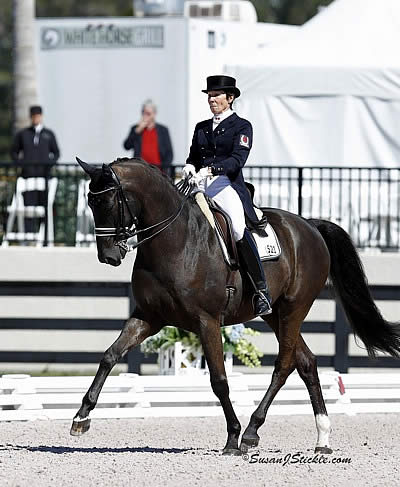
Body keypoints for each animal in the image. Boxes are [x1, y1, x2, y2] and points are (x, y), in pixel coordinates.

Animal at [71, 158, 400, 456]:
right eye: (90, 202)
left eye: (108, 202)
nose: (108, 256)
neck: (174, 240)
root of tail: (310, 226)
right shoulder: (148, 317)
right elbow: (110, 356)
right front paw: (81, 417)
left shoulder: (206, 321)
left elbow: (219, 380)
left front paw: (232, 437)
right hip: (274, 314)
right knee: (305, 362)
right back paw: (322, 438)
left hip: (294, 309)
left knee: (284, 366)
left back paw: (252, 432)